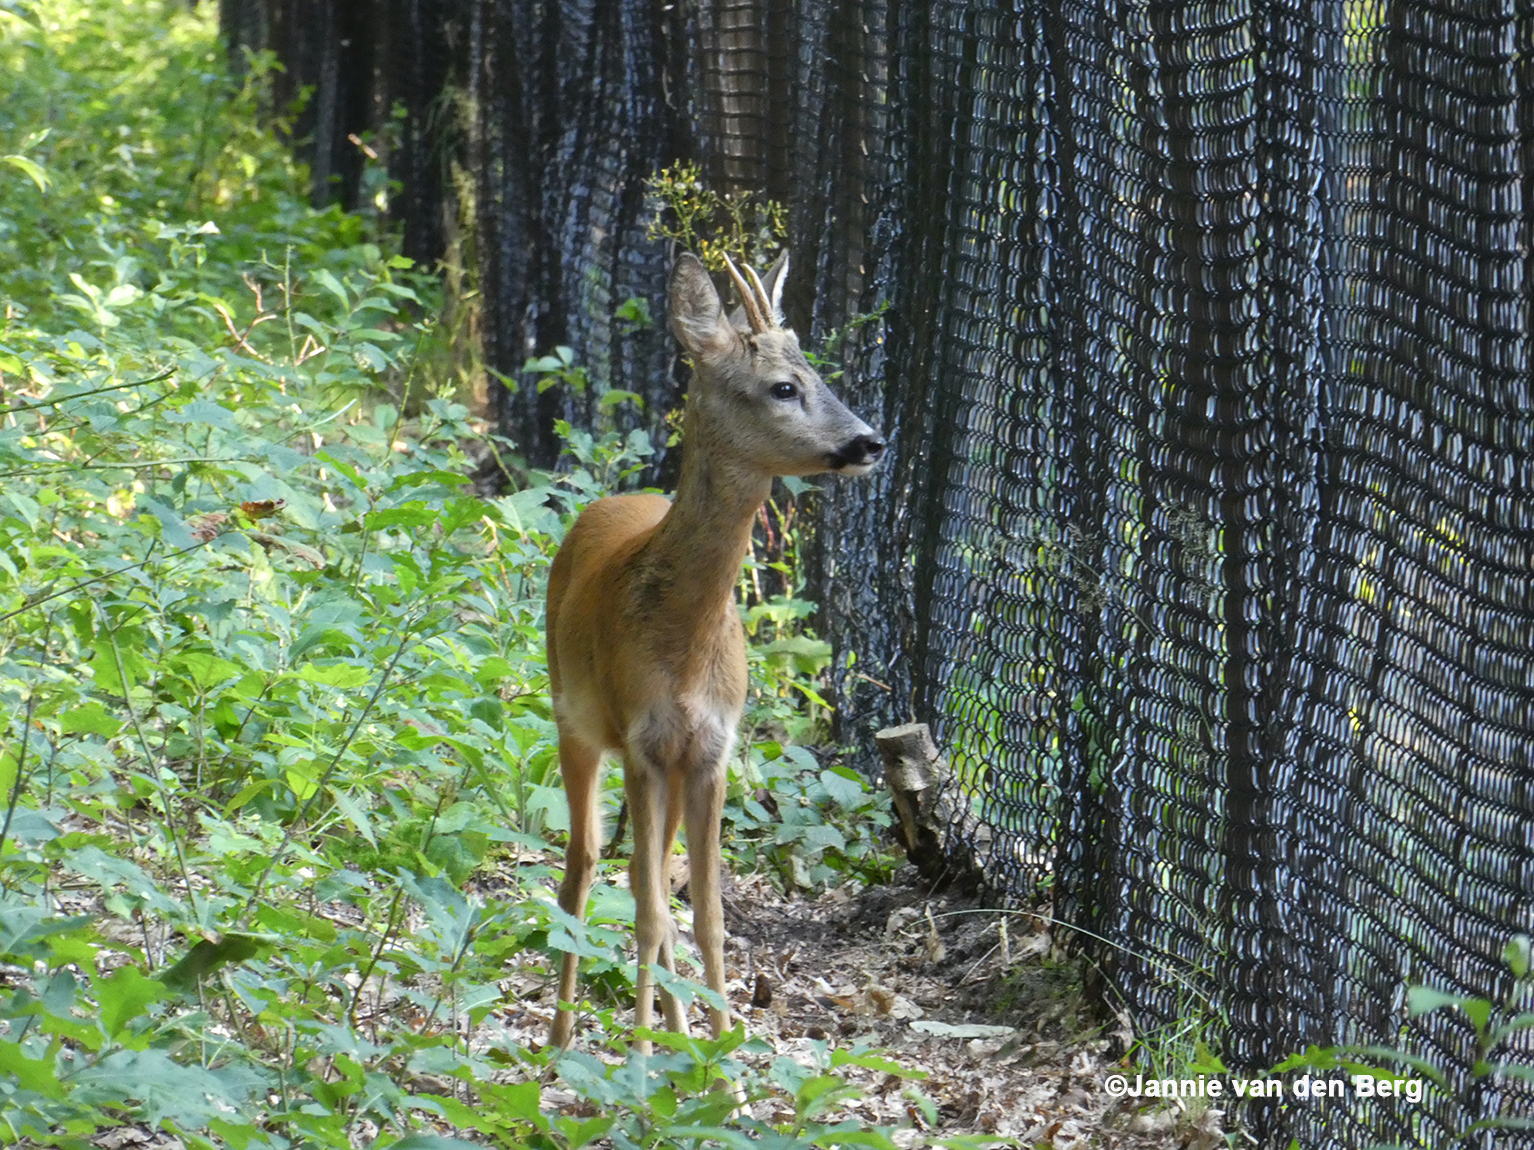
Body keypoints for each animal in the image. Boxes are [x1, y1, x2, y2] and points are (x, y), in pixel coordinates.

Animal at [549, 254, 889, 1054]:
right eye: (784, 386)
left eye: (815, 370)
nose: (870, 442)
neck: (683, 645)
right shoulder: (641, 741)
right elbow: (648, 908)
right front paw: (641, 1058)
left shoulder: (711, 749)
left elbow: (705, 913)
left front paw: (722, 1061)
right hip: (572, 719)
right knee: (582, 868)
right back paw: (560, 1040)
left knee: (645, 876)